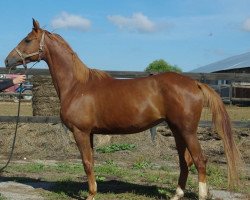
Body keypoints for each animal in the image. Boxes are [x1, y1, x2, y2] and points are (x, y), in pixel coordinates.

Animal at [4, 19, 241, 200]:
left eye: (27, 39)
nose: (7, 60)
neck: (77, 86)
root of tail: (194, 83)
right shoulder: (90, 134)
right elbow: (90, 162)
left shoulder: (81, 132)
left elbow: (87, 162)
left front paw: (91, 195)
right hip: (177, 130)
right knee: (185, 162)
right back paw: (176, 194)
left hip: (188, 130)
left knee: (200, 161)